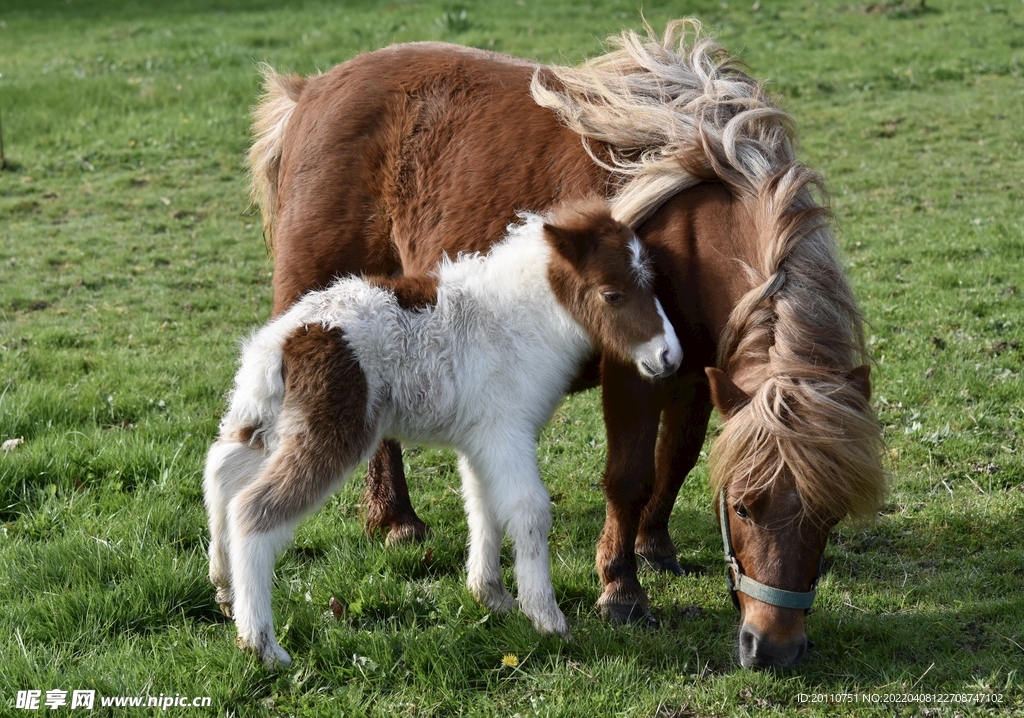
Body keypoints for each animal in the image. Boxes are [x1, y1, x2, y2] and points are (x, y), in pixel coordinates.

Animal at [199, 197, 679, 667]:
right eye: (612, 294)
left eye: (652, 283)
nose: (669, 356)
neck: (516, 321)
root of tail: (281, 341)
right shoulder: (508, 432)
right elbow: (530, 511)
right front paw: (547, 618)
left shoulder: (481, 441)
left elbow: (483, 506)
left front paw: (491, 597)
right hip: (333, 431)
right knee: (253, 510)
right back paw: (262, 644)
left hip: (265, 418)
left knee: (221, 468)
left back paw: (224, 588)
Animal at [247, 19, 888, 667]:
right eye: (741, 507)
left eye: (830, 516)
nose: (773, 649)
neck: (691, 230)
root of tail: (310, 92)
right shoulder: (634, 371)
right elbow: (629, 475)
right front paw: (622, 590)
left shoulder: (699, 372)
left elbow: (677, 459)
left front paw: (655, 545)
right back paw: (396, 520)